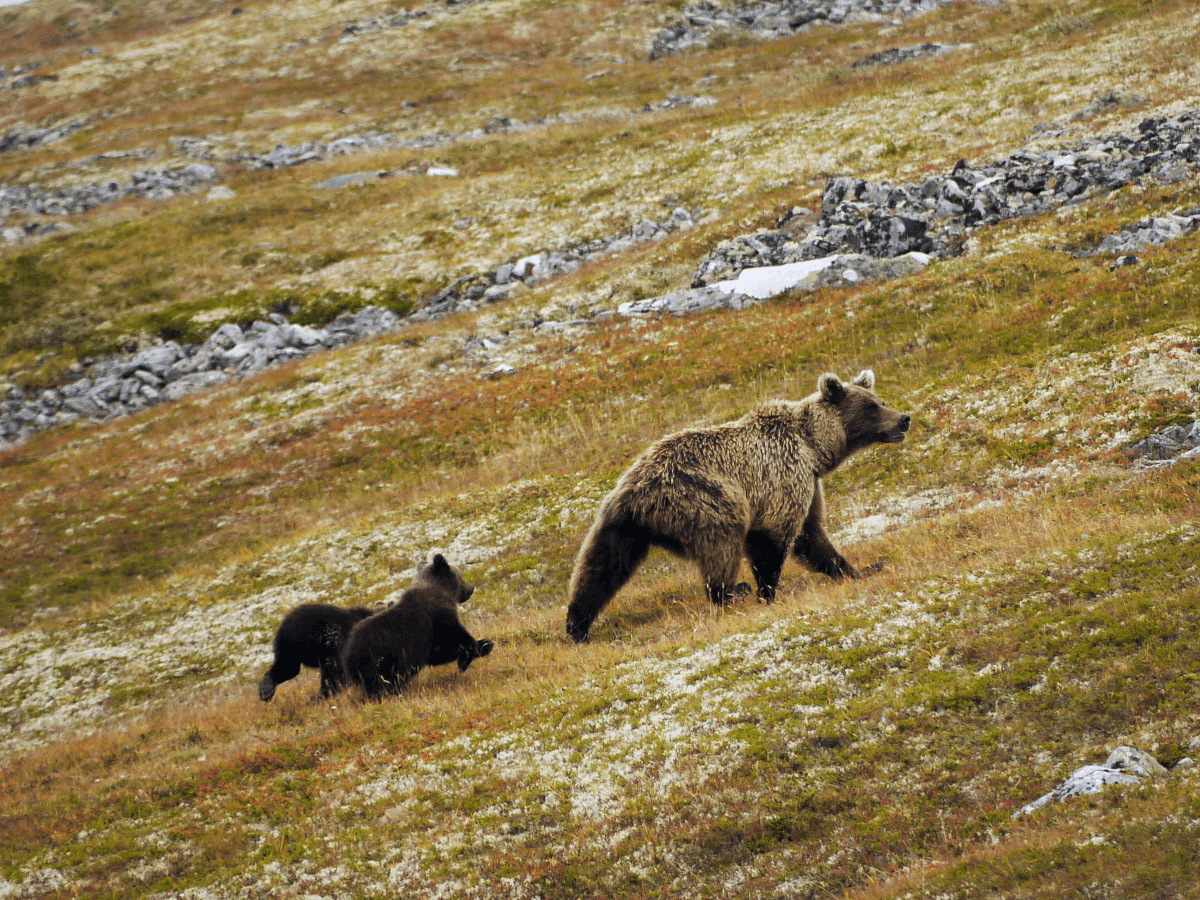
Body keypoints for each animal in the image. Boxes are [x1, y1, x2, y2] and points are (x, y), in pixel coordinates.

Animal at [564, 369, 907, 643]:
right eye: (872, 407)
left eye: (878, 400)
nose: (904, 418)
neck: (814, 449)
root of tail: (638, 495)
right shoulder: (781, 477)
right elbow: (772, 539)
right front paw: (766, 591)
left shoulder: (807, 484)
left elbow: (813, 537)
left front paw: (858, 569)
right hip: (706, 501)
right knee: (721, 548)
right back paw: (730, 592)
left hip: (621, 523)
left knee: (601, 567)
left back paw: (577, 625)